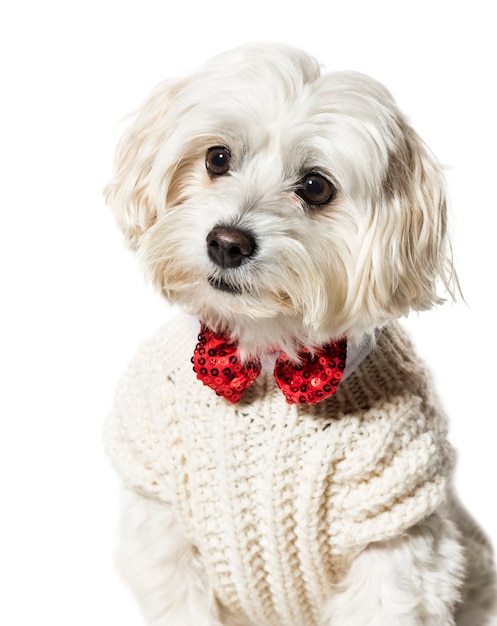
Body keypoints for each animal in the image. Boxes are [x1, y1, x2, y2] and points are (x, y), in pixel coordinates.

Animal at [102, 42, 494, 624]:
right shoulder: (164, 532)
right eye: (217, 158)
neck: (263, 357)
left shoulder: (396, 538)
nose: (228, 242)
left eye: (315, 186)